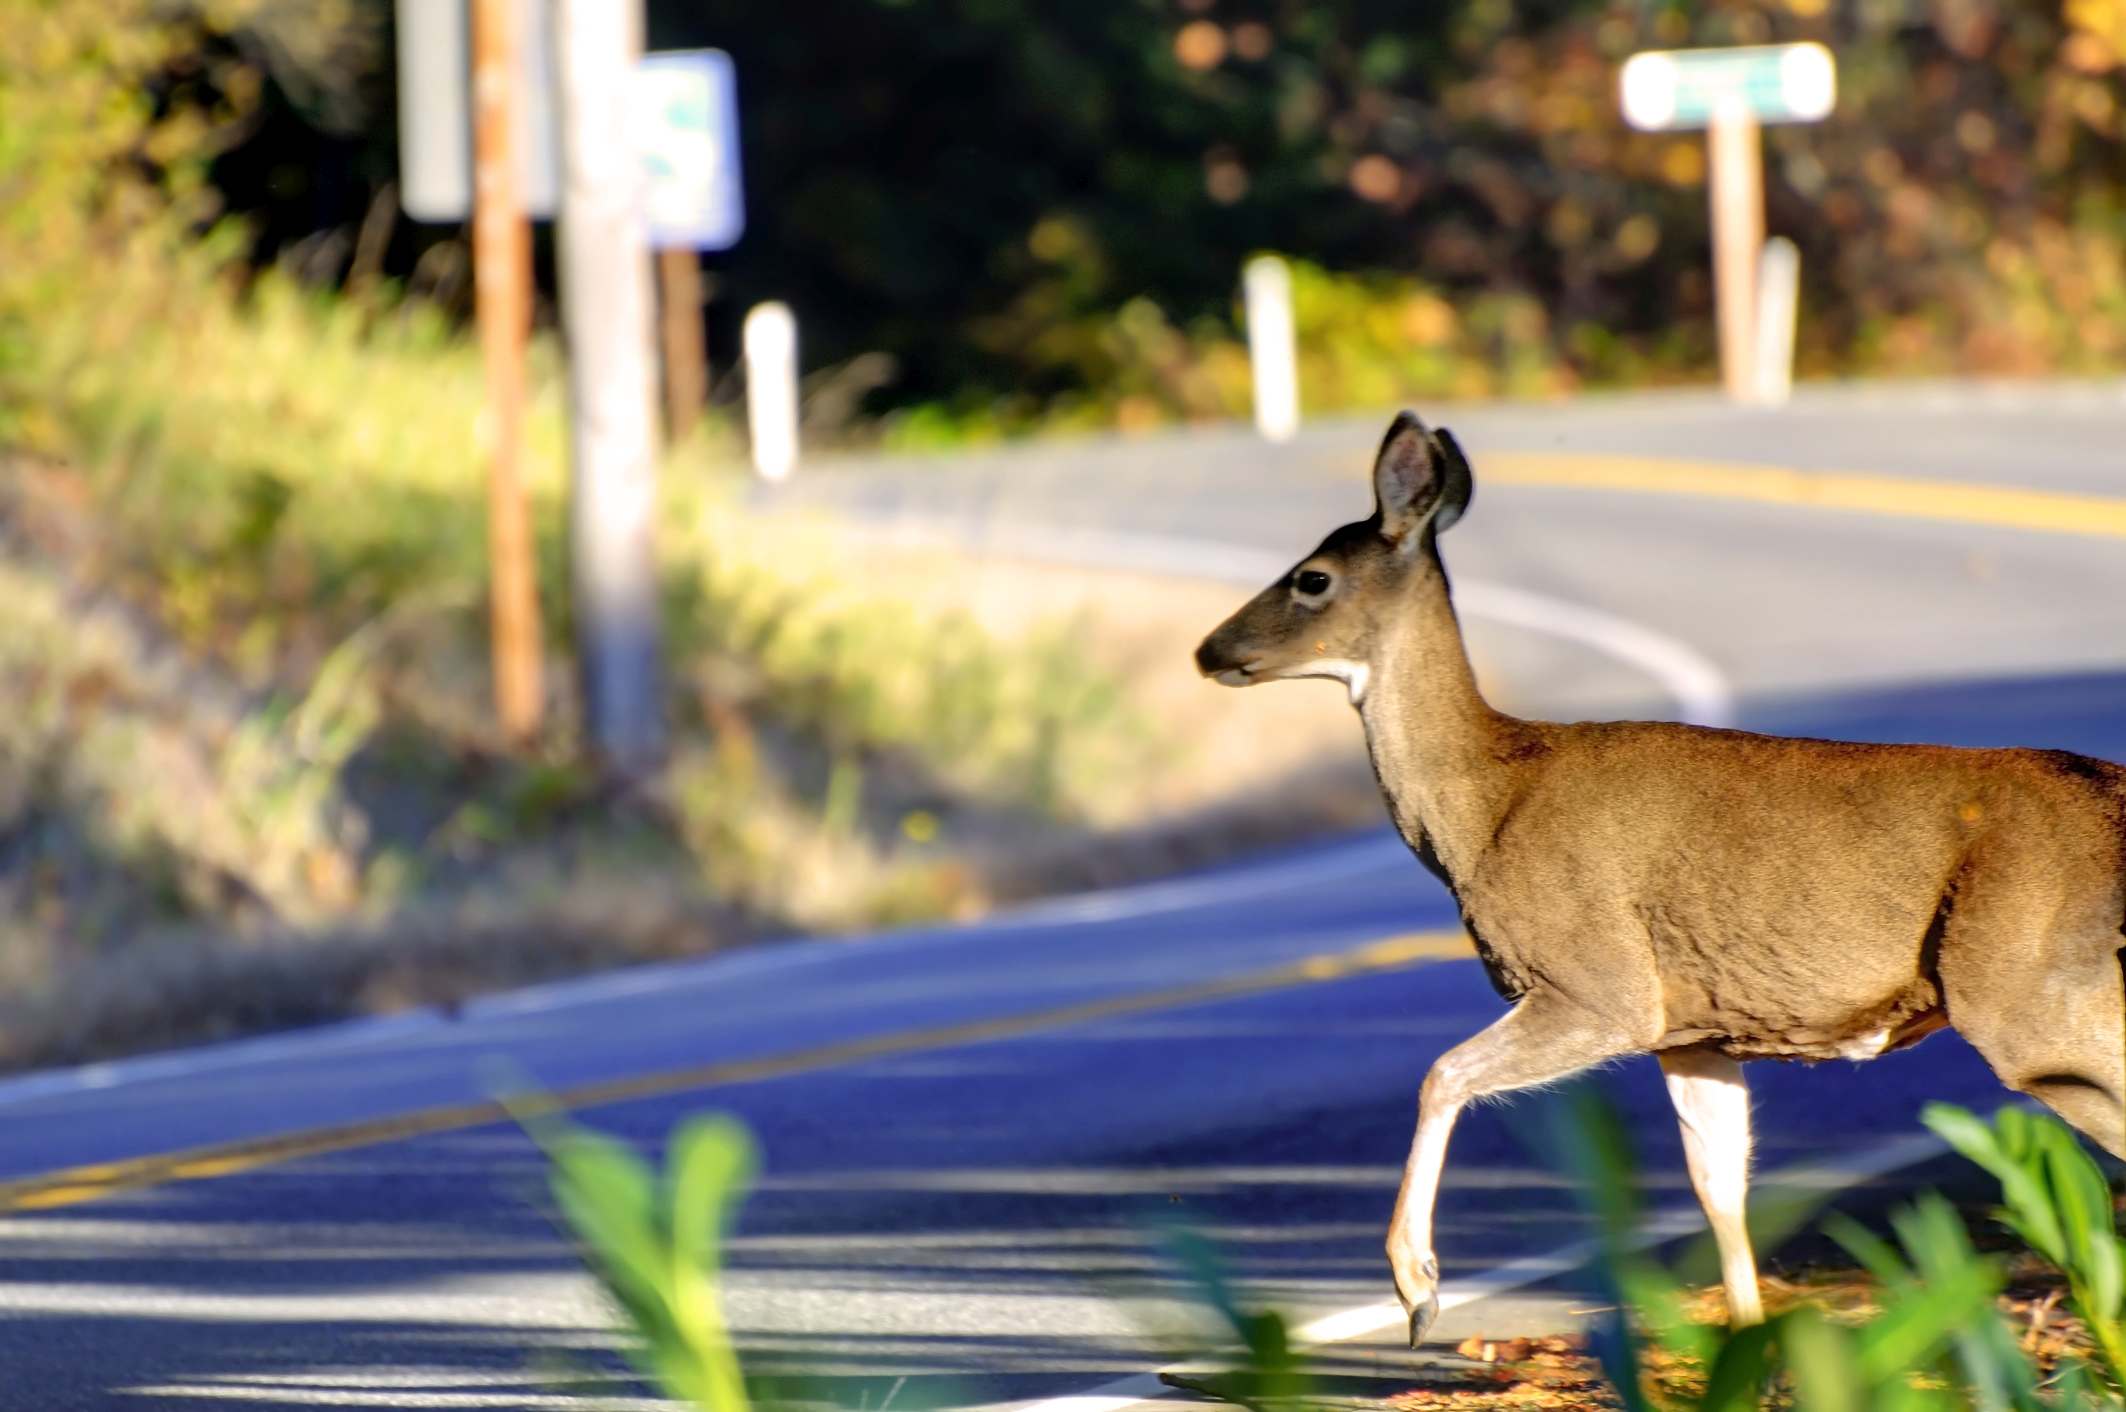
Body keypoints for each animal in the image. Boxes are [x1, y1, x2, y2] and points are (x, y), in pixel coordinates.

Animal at [1199, 408, 2126, 1343]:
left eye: (1311, 578)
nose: (1209, 650)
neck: (1486, 804)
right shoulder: (1697, 1029)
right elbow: (1718, 1184)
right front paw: (1748, 1341)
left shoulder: (1600, 982)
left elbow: (1442, 1073)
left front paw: (1417, 1287)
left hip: (2030, 995)